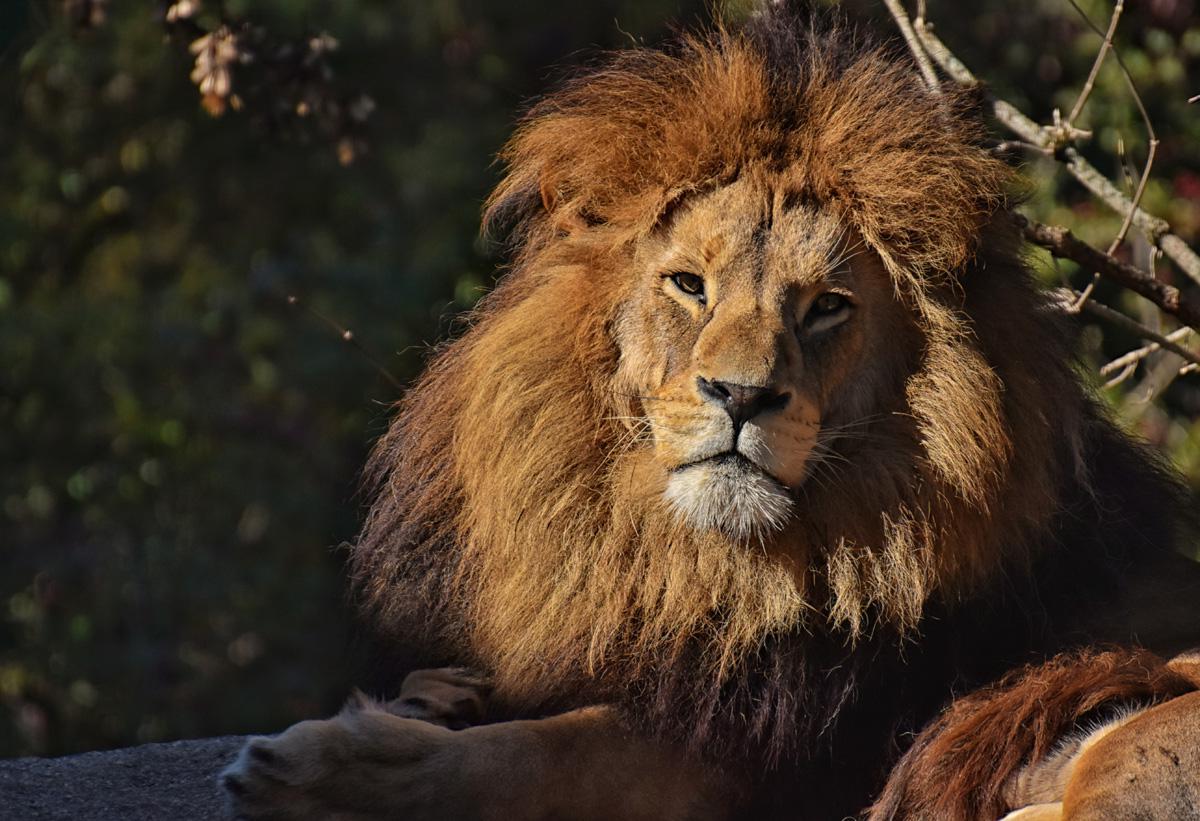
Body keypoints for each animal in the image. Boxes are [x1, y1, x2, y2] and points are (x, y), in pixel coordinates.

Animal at [221, 4, 1200, 819]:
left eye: (827, 307)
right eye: (690, 285)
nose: (740, 394)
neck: (694, 562)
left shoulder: (755, 752)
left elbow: (540, 753)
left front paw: (322, 769)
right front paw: (436, 693)